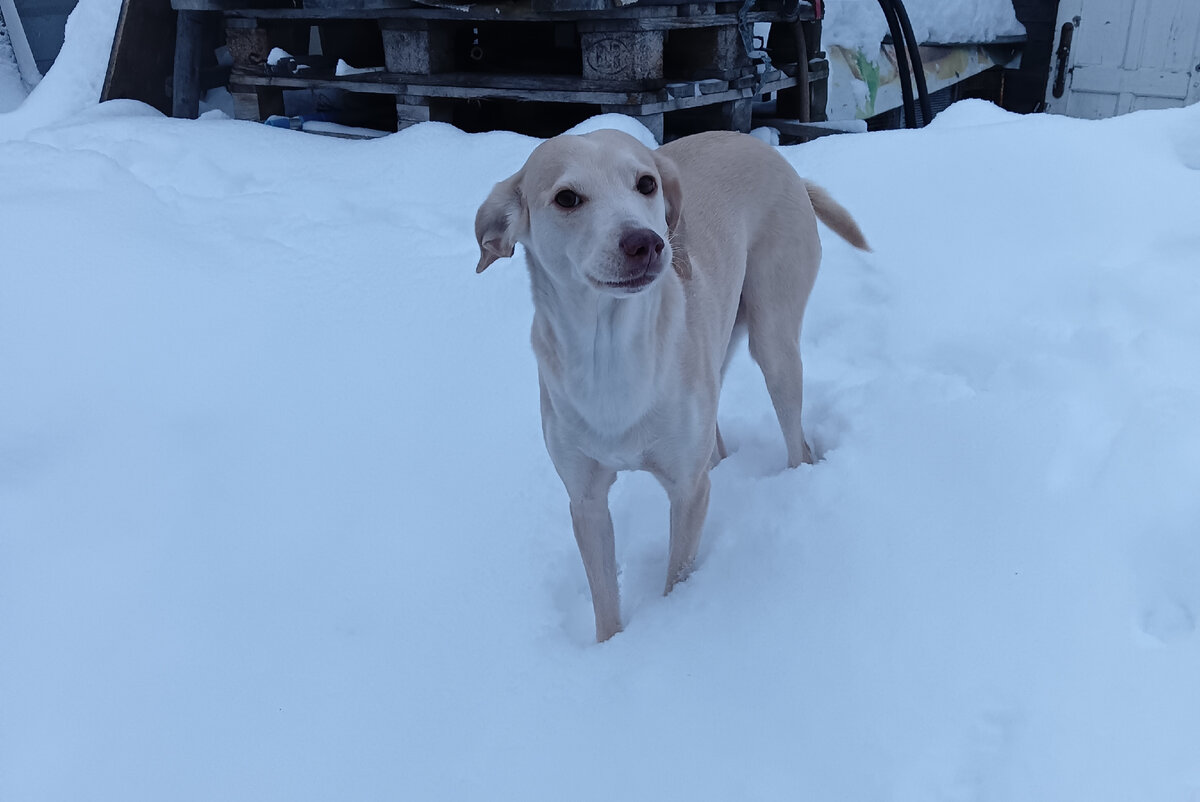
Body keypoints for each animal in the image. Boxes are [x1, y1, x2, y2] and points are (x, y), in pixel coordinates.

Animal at [472, 128, 868, 643]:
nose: (646, 243)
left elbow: (677, 575)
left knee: (794, 437)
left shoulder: (686, 489)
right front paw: (612, 649)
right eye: (566, 198)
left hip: (774, 341)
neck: (611, 353)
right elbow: (604, 600)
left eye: (646, 183)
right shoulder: (585, 499)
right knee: (718, 444)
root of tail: (779, 159)